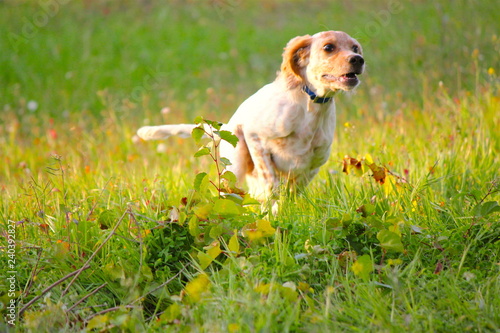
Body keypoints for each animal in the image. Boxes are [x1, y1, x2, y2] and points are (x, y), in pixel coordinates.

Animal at [137, 31, 364, 200]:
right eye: (328, 47)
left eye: (355, 48)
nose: (358, 59)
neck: (309, 108)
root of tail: (226, 126)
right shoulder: (255, 136)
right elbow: (271, 184)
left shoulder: (313, 164)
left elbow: (291, 193)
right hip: (234, 166)